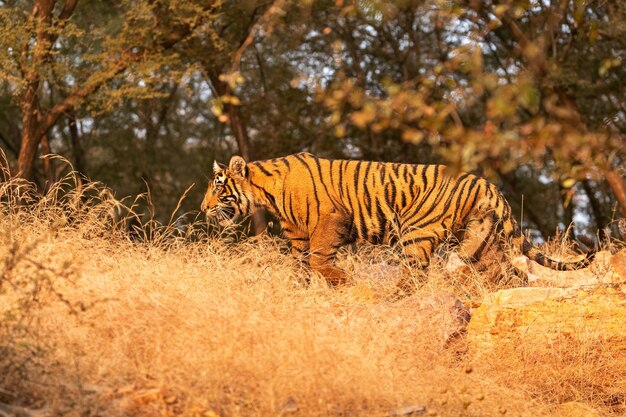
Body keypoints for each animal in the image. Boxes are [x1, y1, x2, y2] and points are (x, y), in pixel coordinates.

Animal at [201, 152, 596, 286]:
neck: (265, 191)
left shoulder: (329, 219)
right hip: (479, 242)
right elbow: (300, 267)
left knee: (414, 277)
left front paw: (340, 281)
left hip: (416, 233)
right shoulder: (298, 236)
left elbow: (319, 260)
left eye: (218, 189)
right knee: (506, 272)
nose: (204, 208)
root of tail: (486, 183)